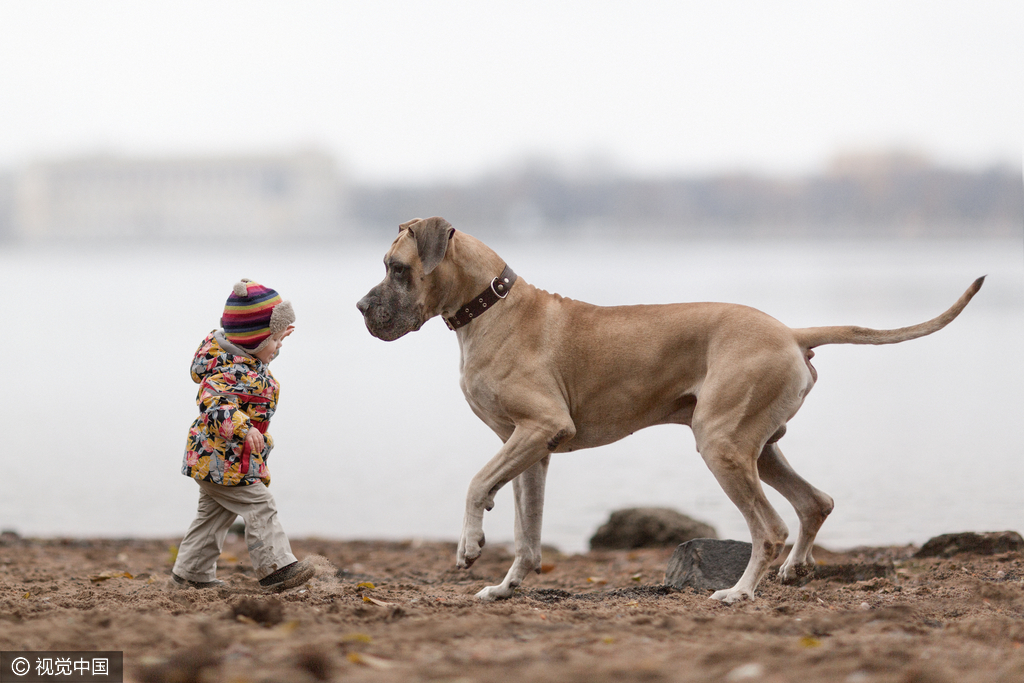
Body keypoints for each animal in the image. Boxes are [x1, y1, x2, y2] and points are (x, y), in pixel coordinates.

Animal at [356, 218, 978, 602]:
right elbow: (527, 536)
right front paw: (505, 587)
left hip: (721, 446)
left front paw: (469, 543)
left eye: (396, 268)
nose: (361, 306)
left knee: (770, 526)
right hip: (758, 447)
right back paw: (792, 569)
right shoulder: (532, 449)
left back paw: (740, 592)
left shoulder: (538, 429)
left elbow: (474, 483)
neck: (489, 305)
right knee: (814, 502)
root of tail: (789, 332)